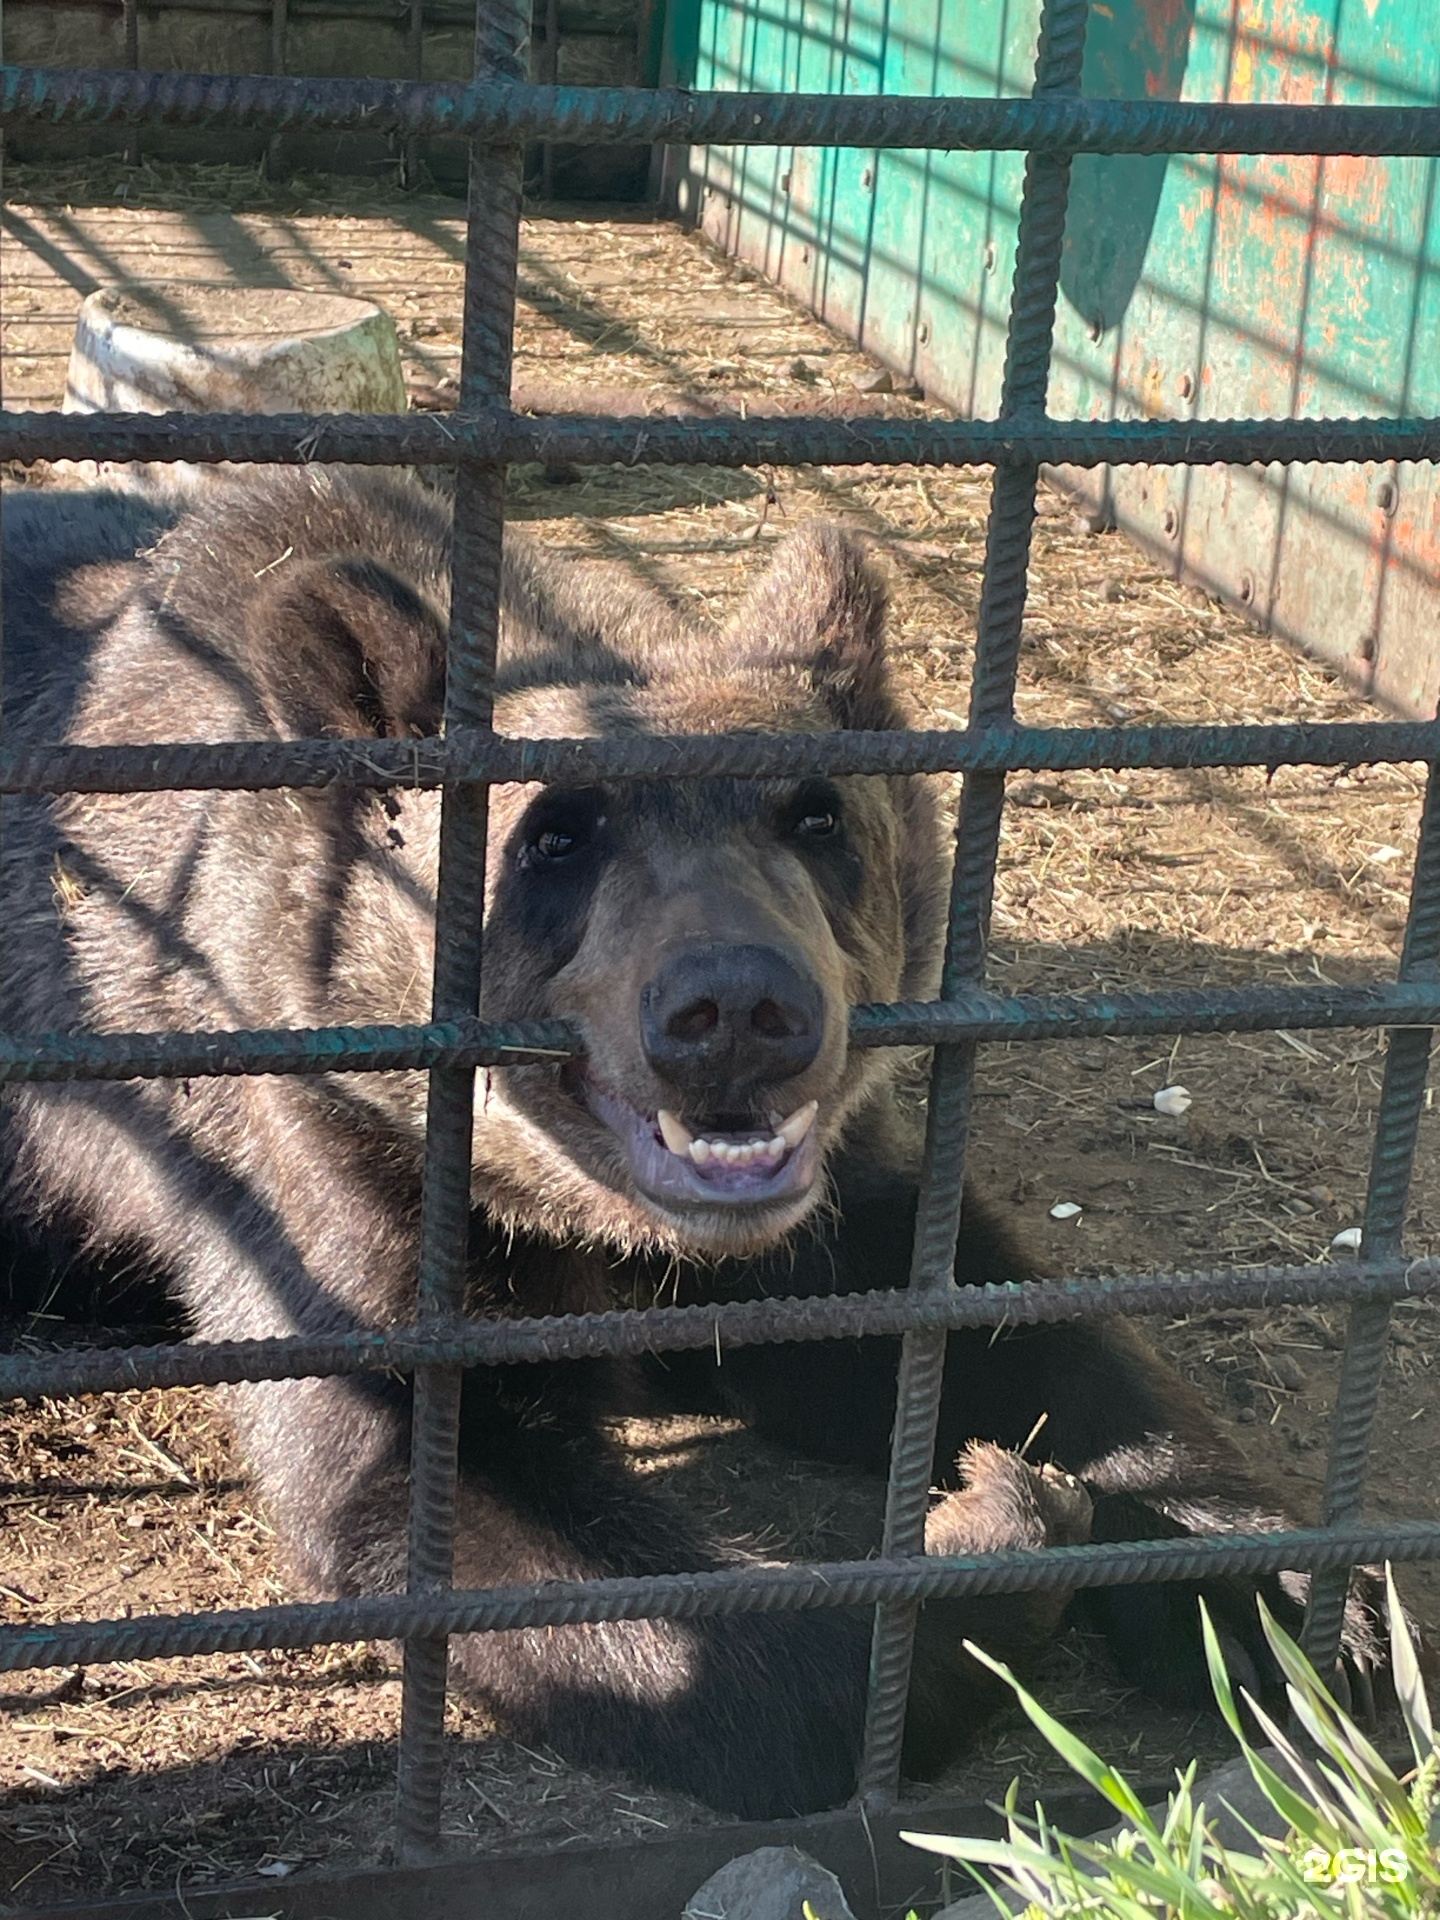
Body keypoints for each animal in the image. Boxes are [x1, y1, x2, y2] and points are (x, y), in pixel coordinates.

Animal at [0, 472, 1374, 1820]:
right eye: (553, 832)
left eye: (817, 815)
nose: (736, 1005)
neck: (588, 1224)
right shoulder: (313, 1178)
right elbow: (468, 1504)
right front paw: (994, 1534)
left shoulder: (825, 1215)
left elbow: (1011, 1331)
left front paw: (1290, 1599)